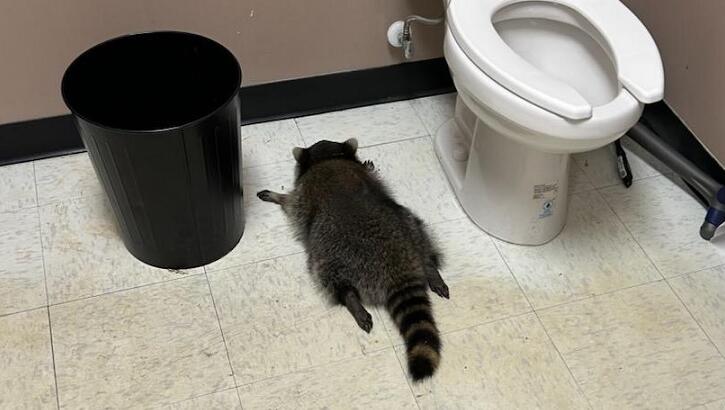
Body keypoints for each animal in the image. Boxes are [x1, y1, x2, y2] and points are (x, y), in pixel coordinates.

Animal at [256, 138, 449, 381]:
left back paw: (350, 299)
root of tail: (398, 267)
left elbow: (291, 203)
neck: (328, 158)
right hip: (409, 224)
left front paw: (277, 196)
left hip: (330, 252)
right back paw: (431, 268)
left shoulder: (303, 195)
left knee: (328, 275)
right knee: (420, 236)